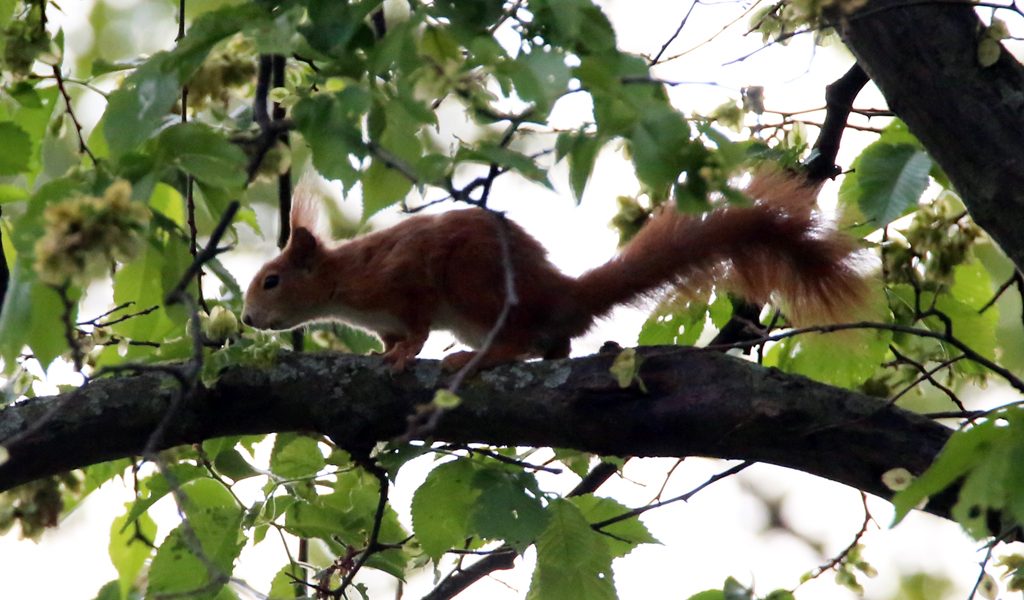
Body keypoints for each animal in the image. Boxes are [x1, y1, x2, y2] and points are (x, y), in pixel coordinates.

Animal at [241, 167, 872, 370]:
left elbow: (415, 326)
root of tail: (559, 293)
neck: (344, 282)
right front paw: (385, 352)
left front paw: (403, 356)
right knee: (552, 345)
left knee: (517, 339)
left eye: (272, 280)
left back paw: (475, 357)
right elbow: (391, 335)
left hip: (474, 287)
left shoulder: (404, 280)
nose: (246, 318)